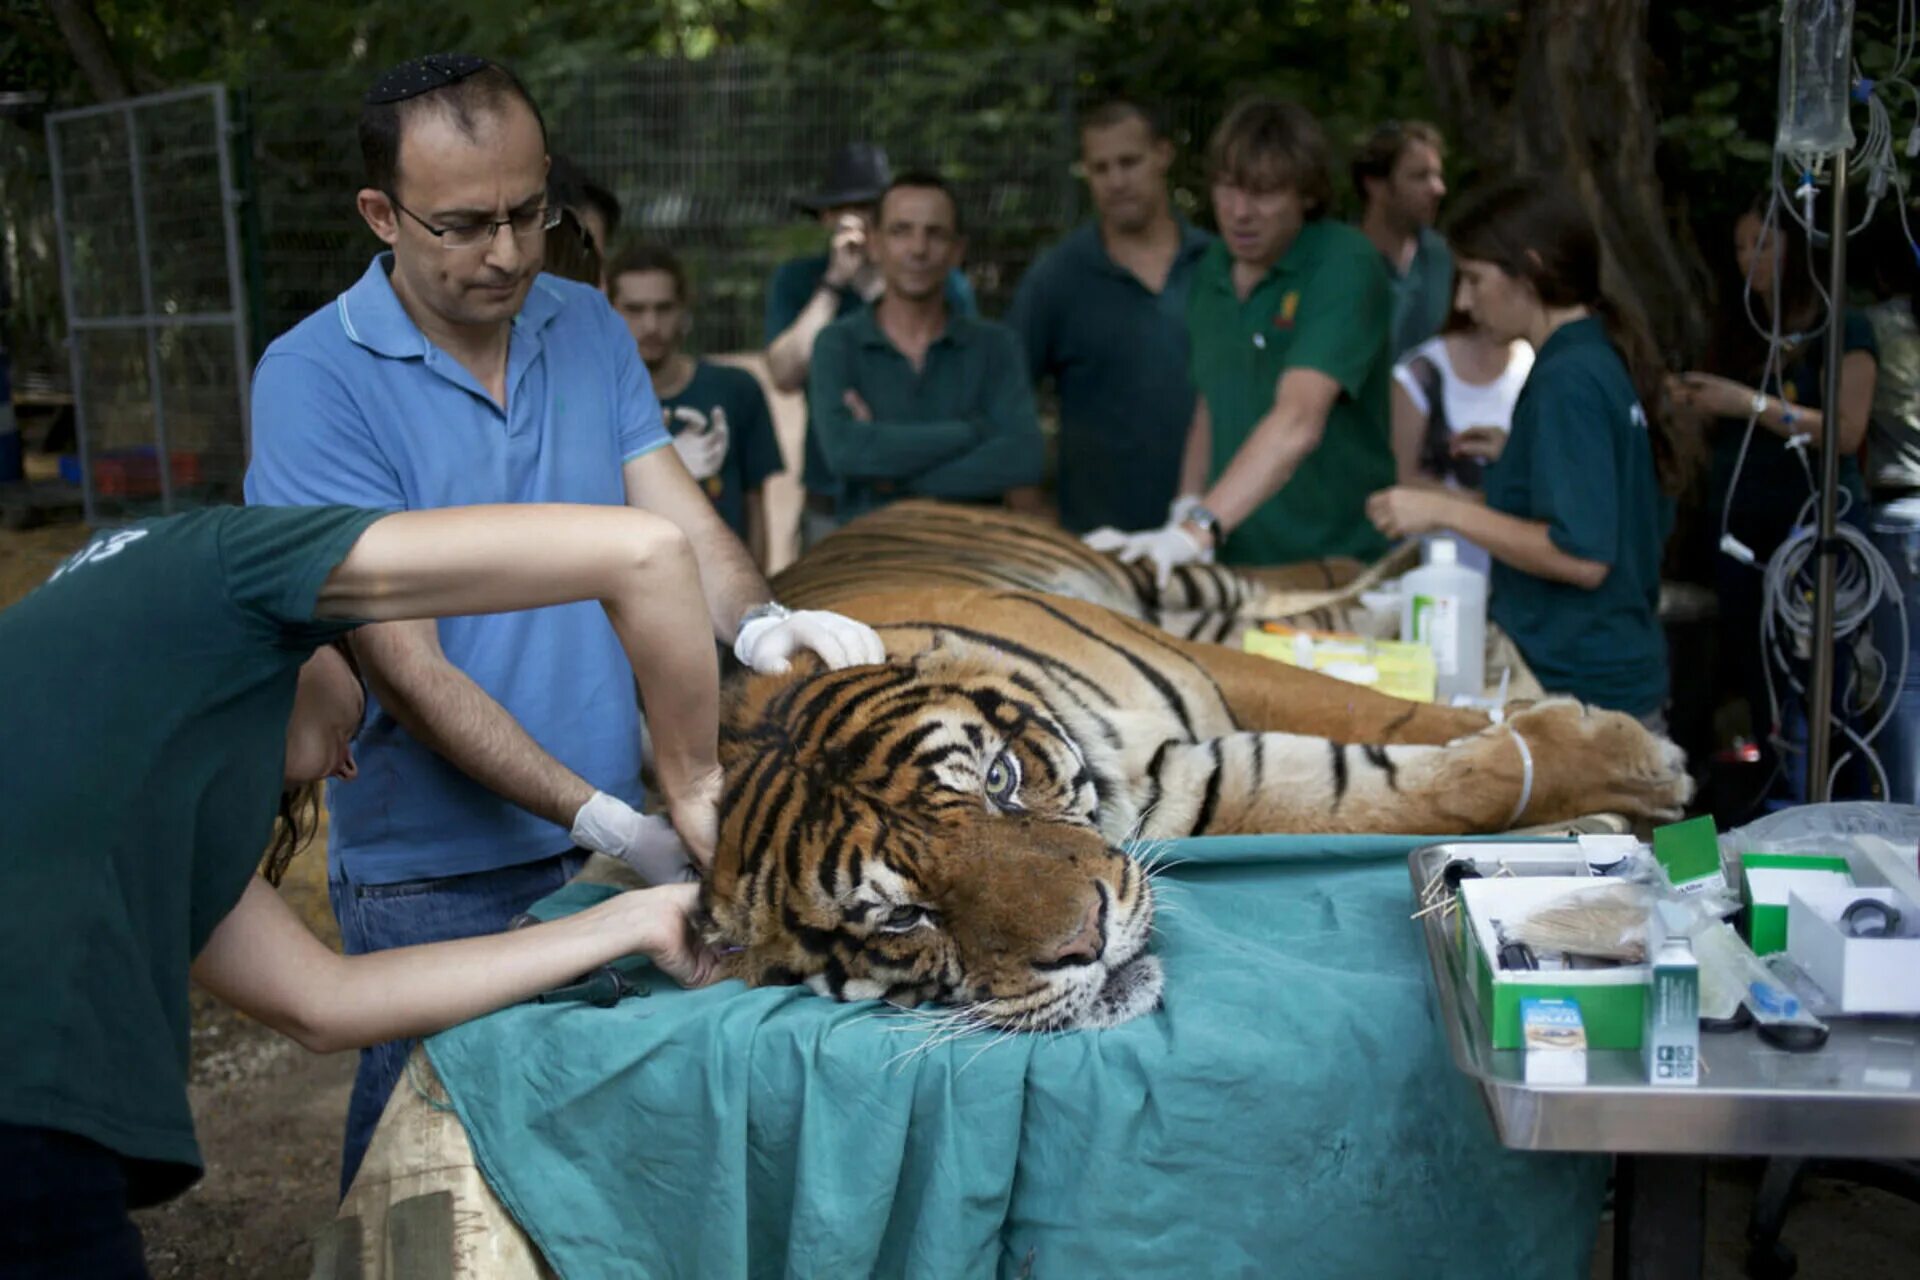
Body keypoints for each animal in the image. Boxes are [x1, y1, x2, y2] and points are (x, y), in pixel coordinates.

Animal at [698, 498, 1689, 1028]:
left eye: (999, 781)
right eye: (902, 917)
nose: (1089, 945)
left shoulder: (1207, 673)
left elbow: (1378, 710)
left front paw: (1633, 756)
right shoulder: (1199, 783)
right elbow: (1387, 788)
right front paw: (1612, 767)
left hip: (1154, 587)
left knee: (1266, 582)